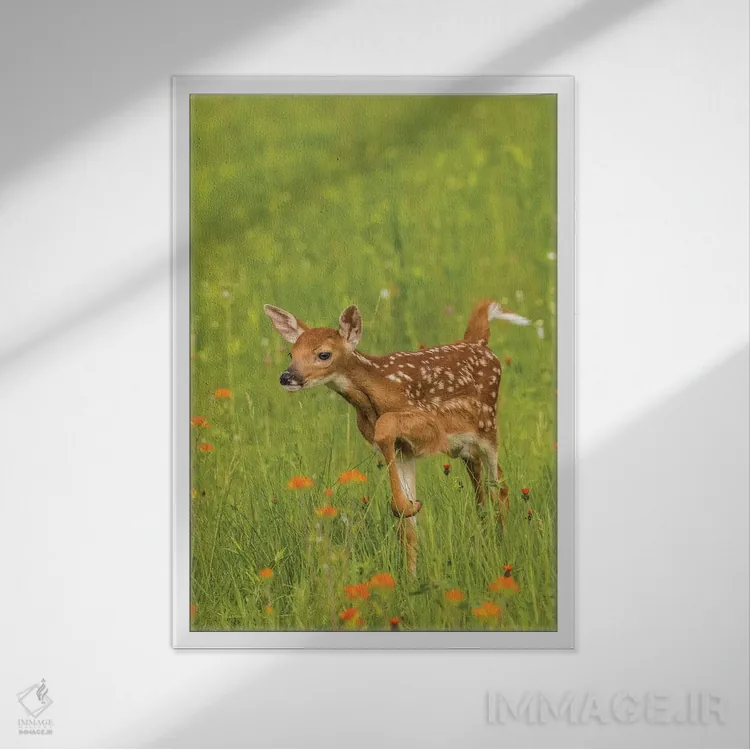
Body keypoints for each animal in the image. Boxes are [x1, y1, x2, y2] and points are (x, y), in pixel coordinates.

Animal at [263, 300, 530, 574]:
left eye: (323, 354)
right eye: (291, 354)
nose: (287, 377)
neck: (376, 395)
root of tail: (479, 343)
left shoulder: (430, 422)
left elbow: (386, 424)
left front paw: (407, 507)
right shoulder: (404, 449)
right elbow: (408, 527)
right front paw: (410, 575)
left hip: (488, 426)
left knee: (500, 486)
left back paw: (503, 547)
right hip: (466, 447)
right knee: (481, 488)